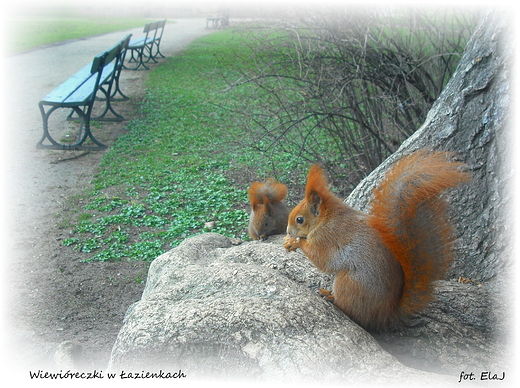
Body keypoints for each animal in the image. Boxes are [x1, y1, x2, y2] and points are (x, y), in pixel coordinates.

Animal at [284, 150, 472, 332]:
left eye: (299, 220)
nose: (287, 231)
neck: (325, 219)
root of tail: (385, 315)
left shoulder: (328, 237)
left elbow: (321, 259)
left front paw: (295, 242)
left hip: (350, 283)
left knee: (350, 310)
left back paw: (329, 296)